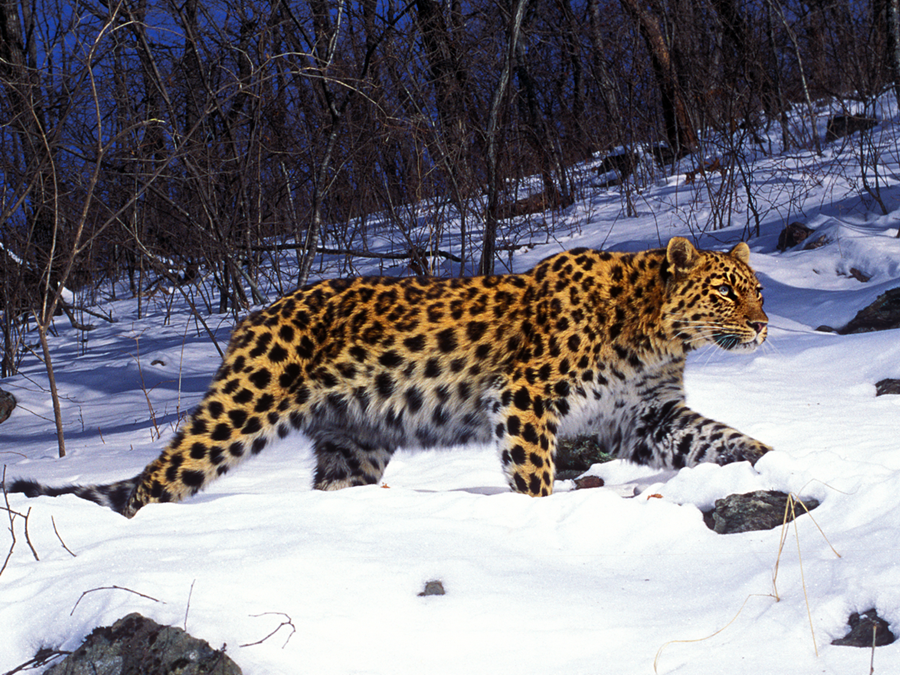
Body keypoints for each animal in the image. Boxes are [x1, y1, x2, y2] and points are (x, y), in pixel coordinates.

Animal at [7, 238, 768, 516]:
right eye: (726, 292)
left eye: (756, 290)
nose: (763, 325)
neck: (659, 336)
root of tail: (253, 316)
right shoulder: (524, 397)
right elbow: (532, 475)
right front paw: (539, 517)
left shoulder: (647, 415)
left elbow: (715, 437)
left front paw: (768, 461)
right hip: (241, 410)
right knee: (158, 479)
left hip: (355, 442)